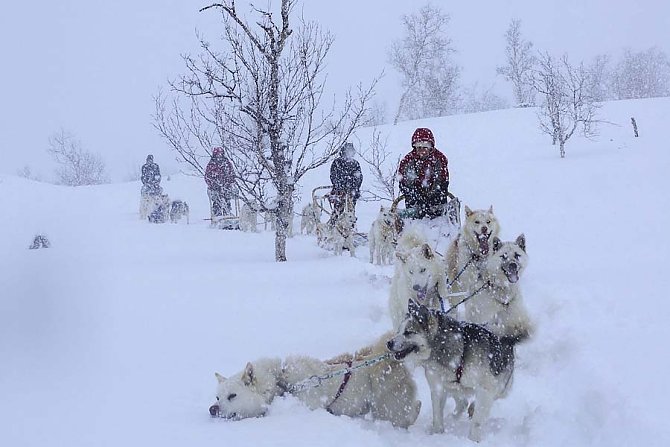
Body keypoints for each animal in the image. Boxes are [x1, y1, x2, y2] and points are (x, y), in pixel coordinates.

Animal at [210, 334, 420, 428]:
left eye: (232, 396)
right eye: (217, 397)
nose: (212, 409)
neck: (280, 382)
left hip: (390, 409)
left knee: (412, 410)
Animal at [388, 300, 532, 442]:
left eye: (408, 332)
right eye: (398, 330)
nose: (389, 343)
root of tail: (507, 338)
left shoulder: (486, 387)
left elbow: (478, 419)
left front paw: (473, 439)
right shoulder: (437, 387)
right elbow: (437, 414)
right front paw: (437, 433)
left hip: (501, 387)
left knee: (489, 398)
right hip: (455, 387)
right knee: (462, 401)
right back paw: (455, 416)